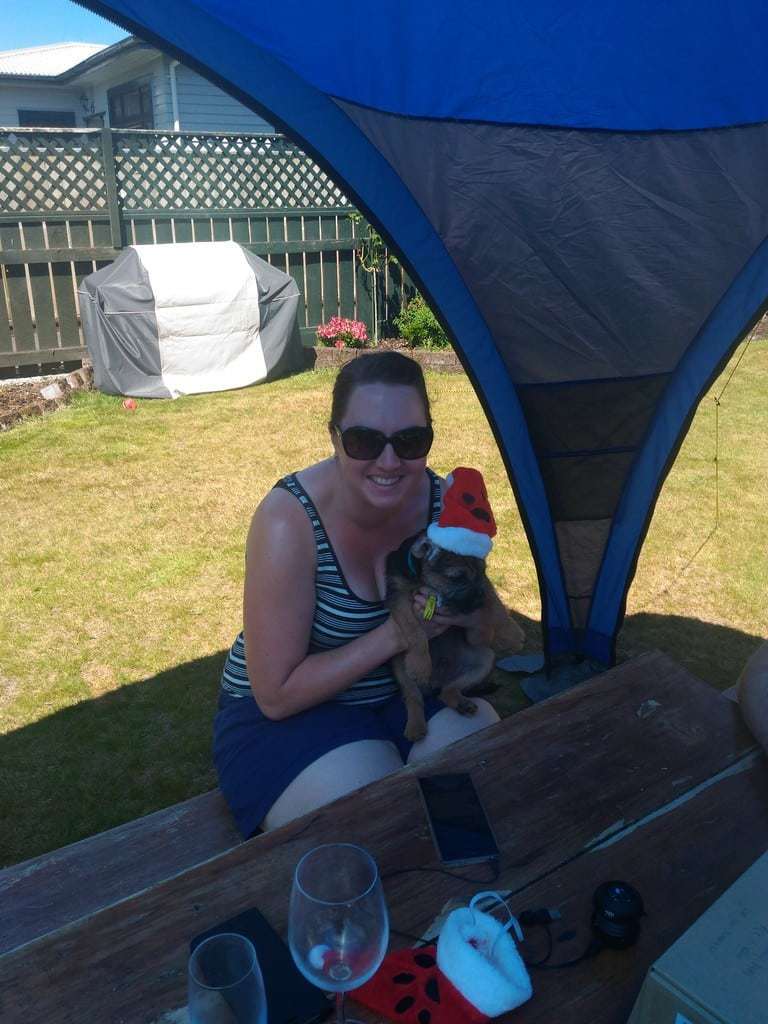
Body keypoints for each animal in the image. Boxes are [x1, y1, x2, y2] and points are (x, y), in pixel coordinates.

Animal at [385, 533, 524, 741]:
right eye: (457, 577)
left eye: (484, 571)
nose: (479, 599)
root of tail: (436, 683)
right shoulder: (399, 597)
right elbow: (415, 630)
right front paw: (420, 664)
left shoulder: (486, 586)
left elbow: (496, 605)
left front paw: (511, 634)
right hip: (398, 665)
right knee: (413, 697)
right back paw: (416, 726)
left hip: (484, 659)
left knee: (447, 691)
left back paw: (460, 703)